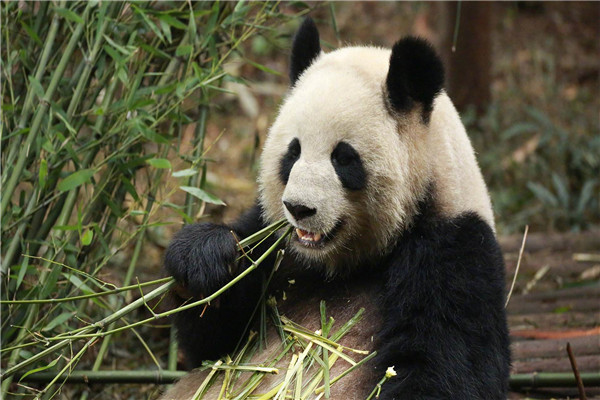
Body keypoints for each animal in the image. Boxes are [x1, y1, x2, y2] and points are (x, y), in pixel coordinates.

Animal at [161, 17, 510, 398]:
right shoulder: (273, 242)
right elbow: (213, 349)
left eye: (343, 158)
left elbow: (448, 368)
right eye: (293, 152)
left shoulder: (454, 253)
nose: (298, 208)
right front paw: (203, 258)